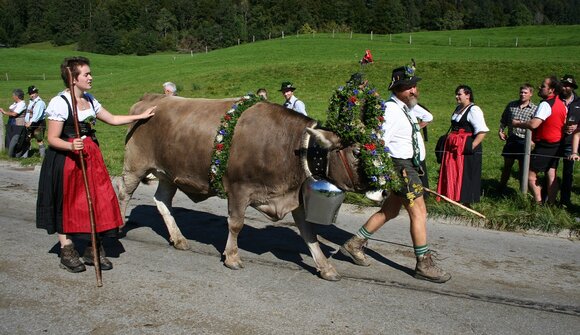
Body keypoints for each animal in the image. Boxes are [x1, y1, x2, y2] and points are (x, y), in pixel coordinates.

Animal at [118, 94, 368, 280]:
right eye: (356, 151)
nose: (376, 183)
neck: (287, 146)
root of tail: (151, 97)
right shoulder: (238, 188)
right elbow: (236, 224)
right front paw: (232, 257)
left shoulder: (294, 197)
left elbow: (309, 233)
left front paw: (326, 267)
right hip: (135, 165)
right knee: (124, 193)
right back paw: (119, 227)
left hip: (168, 174)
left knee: (162, 201)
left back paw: (178, 239)